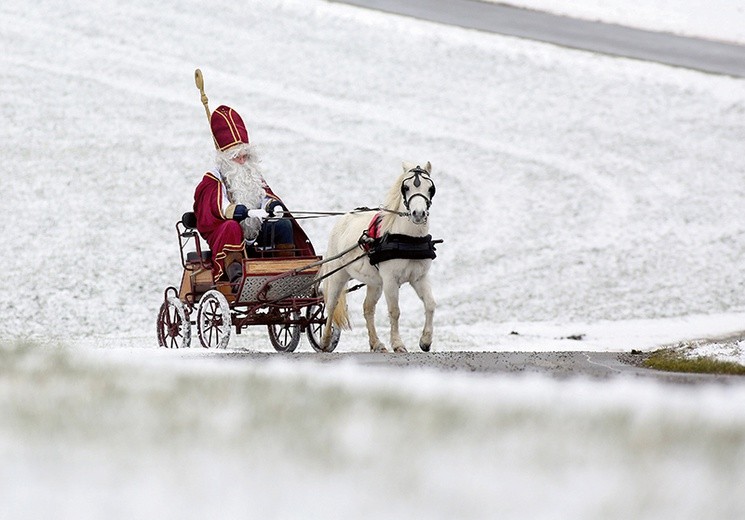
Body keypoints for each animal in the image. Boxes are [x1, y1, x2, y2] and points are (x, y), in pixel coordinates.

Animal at [320, 160, 436, 352]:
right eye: (406, 187)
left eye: (430, 188)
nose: (418, 214)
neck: (408, 238)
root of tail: (344, 218)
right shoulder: (390, 280)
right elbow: (395, 311)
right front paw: (398, 344)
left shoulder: (420, 277)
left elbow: (430, 304)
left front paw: (425, 341)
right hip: (338, 274)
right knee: (330, 305)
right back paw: (324, 341)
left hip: (374, 283)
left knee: (368, 309)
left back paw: (376, 343)